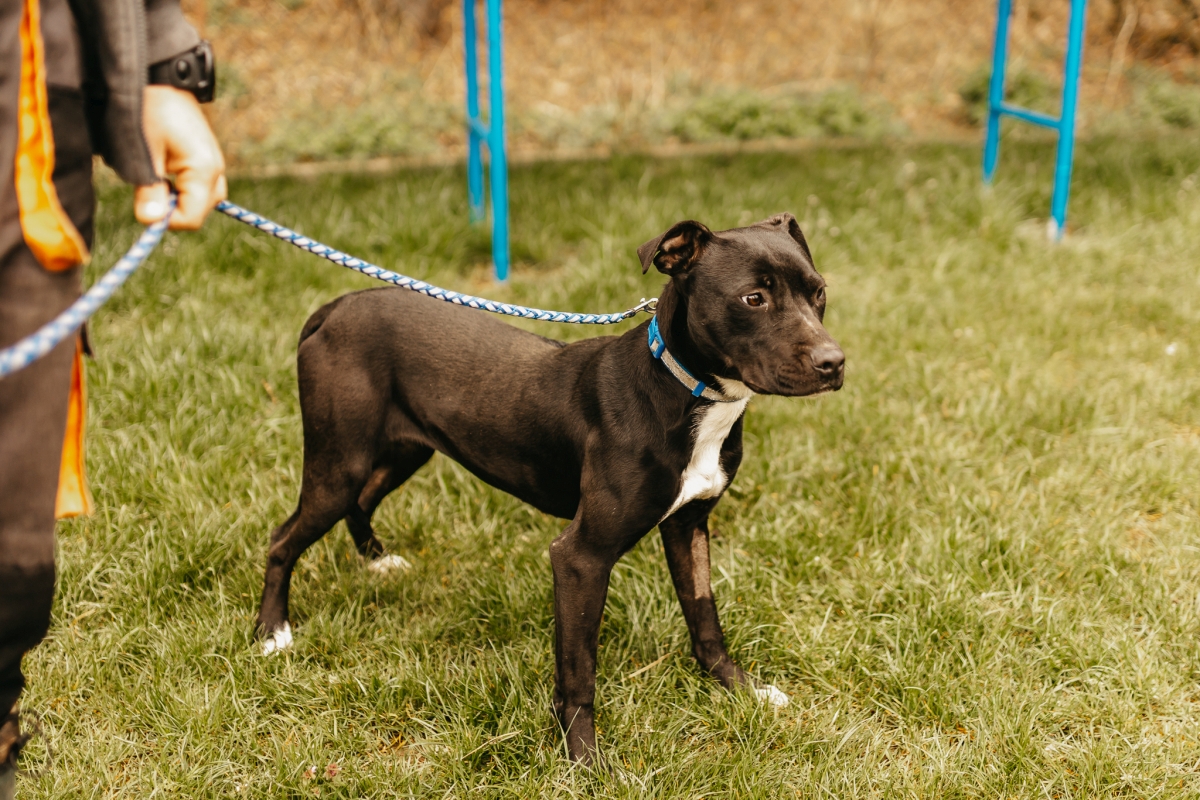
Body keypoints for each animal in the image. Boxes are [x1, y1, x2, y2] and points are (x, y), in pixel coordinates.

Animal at [255, 213, 845, 764]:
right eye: (753, 298)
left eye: (819, 292)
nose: (833, 363)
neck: (682, 390)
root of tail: (335, 308)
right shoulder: (581, 557)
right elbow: (579, 669)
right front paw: (583, 758)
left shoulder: (688, 526)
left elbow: (705, 618)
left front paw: (741, 690)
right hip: (340, 463)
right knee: (284, 538)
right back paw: (272, 632)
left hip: (402, 449)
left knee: (360, 501)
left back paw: (375, 561)